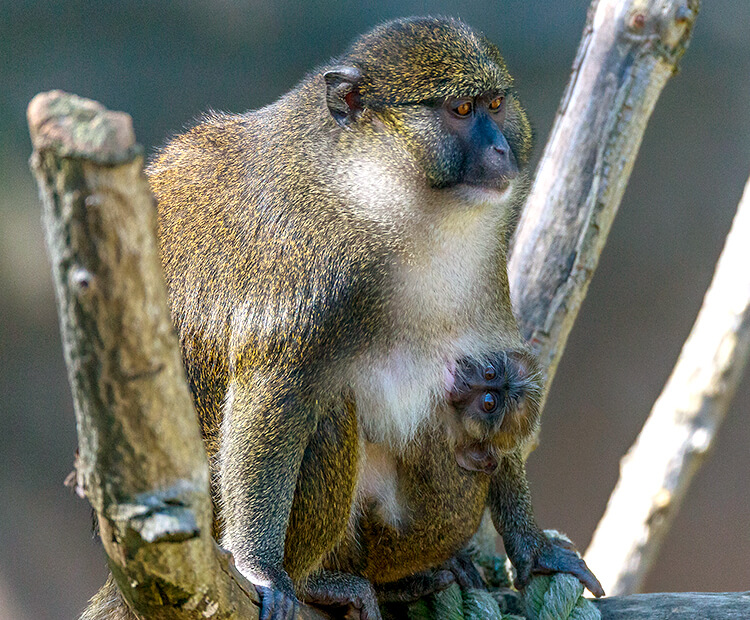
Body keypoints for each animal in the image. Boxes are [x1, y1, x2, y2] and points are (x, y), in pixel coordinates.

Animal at [82, 13, 604, 620]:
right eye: (459, 110)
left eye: (496, 104)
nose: (500, 150)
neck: (385, 195)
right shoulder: (314, 269)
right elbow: (273, 395)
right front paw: (260, 570)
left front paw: (534, 548)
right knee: (326, 408)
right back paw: (318, 584)